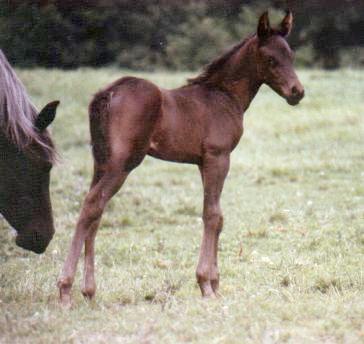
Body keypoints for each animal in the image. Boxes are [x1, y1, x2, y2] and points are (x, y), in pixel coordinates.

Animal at [58, 11, 304, 306]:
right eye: (270, 59)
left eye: (290, 55)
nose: (297, 92)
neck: (224, 96)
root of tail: (108, 93)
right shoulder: (218, 157)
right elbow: (212, 215)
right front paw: (206, 283)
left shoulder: (201, 162)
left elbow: (217, 215)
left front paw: (215, 282)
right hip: (123, 164)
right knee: (92, 205)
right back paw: (65, 289)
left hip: (101, 161)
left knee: (95, 212)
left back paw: (89, 290)